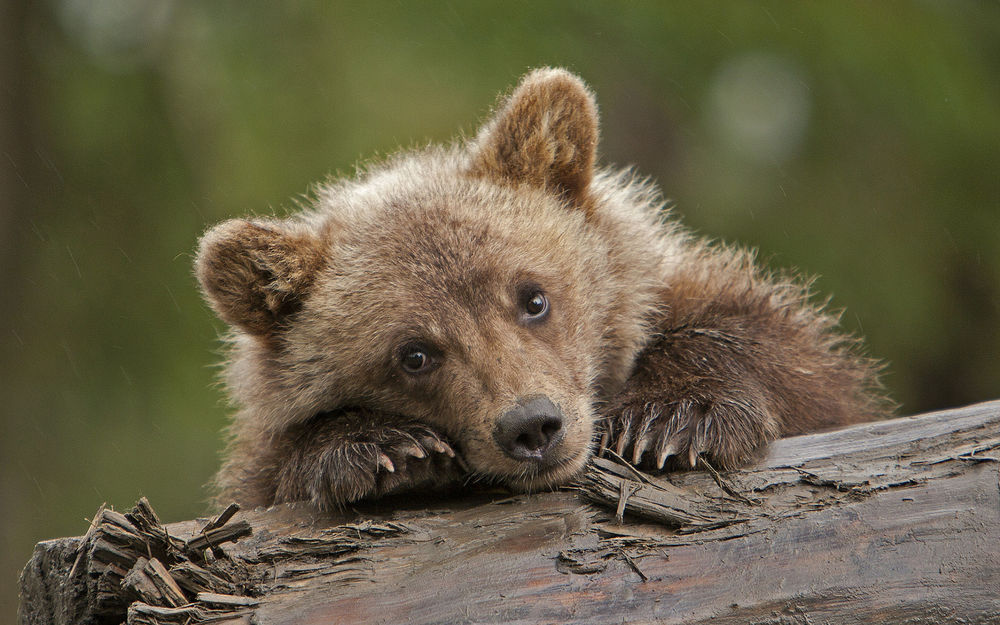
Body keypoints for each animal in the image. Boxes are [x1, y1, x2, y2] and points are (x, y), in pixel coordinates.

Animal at [197, 68, 892, 510]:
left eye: (534, 298)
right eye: (413, 353)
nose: (532, 426)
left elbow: (780, 352)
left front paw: (673, 420)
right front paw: (381, 449)